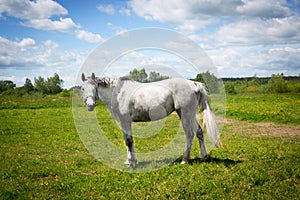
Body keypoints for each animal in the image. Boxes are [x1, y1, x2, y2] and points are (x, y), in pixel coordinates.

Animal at [81, 73, 219, 166]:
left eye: (94, 87)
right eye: (82, 88)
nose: (90, 105)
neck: (118, 93)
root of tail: (194, 84)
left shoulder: (125, 121)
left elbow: (129, 141)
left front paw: (131, 163)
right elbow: (127, 140)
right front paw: (129, 161)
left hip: (185, 114)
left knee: (189, 135)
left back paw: (185, 160)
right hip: (190, 115)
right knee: (199, 132)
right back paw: (203, 156)